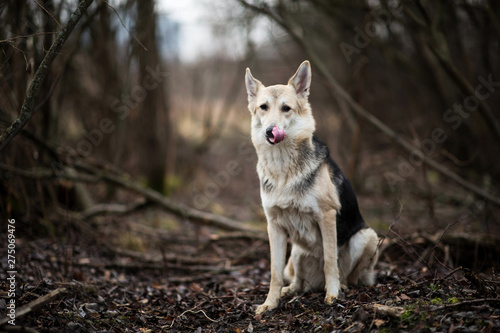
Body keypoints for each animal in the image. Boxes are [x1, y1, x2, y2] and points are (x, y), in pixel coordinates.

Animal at [244, 60, 376, 314]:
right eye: (263, 107)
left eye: (286, 108)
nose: (270, 131)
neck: (283, 167)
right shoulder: (274, 226)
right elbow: (274, 273)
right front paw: (270, 303)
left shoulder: (327, 216)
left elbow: (330, 261)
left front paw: (332, 295)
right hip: (296, 251)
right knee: (297, 281)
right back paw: (291, 291)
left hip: (366, 236)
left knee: (349, 276)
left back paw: (341, 287)